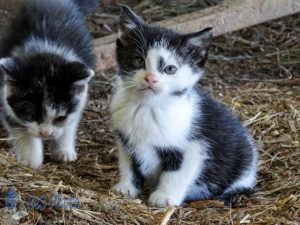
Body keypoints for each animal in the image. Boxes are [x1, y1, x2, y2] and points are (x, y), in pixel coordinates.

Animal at [0, 0, 98, 169]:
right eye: (31, 114)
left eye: (60, 118)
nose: (45, 134)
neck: (44, 49)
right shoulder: (5, 96)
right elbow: (19, 127)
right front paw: (31, 159)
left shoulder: (79, 101)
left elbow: (69, 123)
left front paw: (63, 151)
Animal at [110, 5, 258, 207]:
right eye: (138, 60)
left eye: (170, 69)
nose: (150, 78)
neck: (148, 108)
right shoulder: (124, 139)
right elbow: (128, 164)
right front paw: (125, 187)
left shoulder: (195, 147)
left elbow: (177, 173)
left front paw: (164, 197)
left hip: (244, 159)